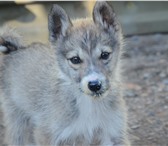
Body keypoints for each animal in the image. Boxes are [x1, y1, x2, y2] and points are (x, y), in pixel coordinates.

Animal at [0, 1, 130, 146]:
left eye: (105, 55)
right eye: (75, 59)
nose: (94, 85)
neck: (89, 103)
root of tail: (15, 50)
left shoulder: (113, 134)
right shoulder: (47, 135)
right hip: (18, 123)